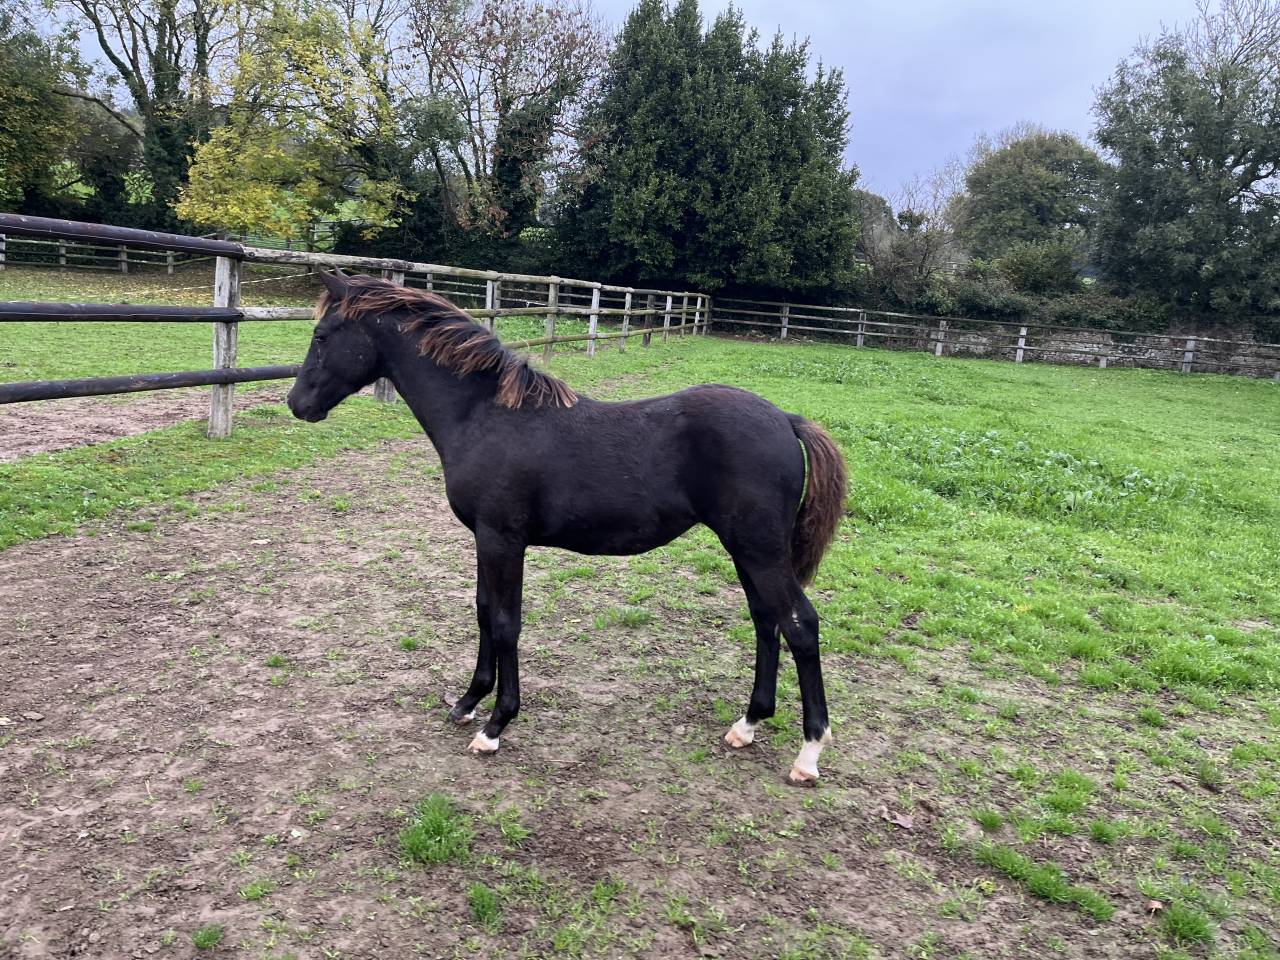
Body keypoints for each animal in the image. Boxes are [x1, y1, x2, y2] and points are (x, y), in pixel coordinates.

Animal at [287, 271, 848, 783]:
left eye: (321, 336)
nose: (297, 404)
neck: (483, 414)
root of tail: (786, 419)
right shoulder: (484, 539)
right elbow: (483, 612)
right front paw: (468, 702)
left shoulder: (503, 540)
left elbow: (506, 623)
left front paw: (495, 726)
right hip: (746, 549)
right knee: (765, 620)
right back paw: (747, 725)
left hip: (760, 550)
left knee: (800, 625)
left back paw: (808, 755)